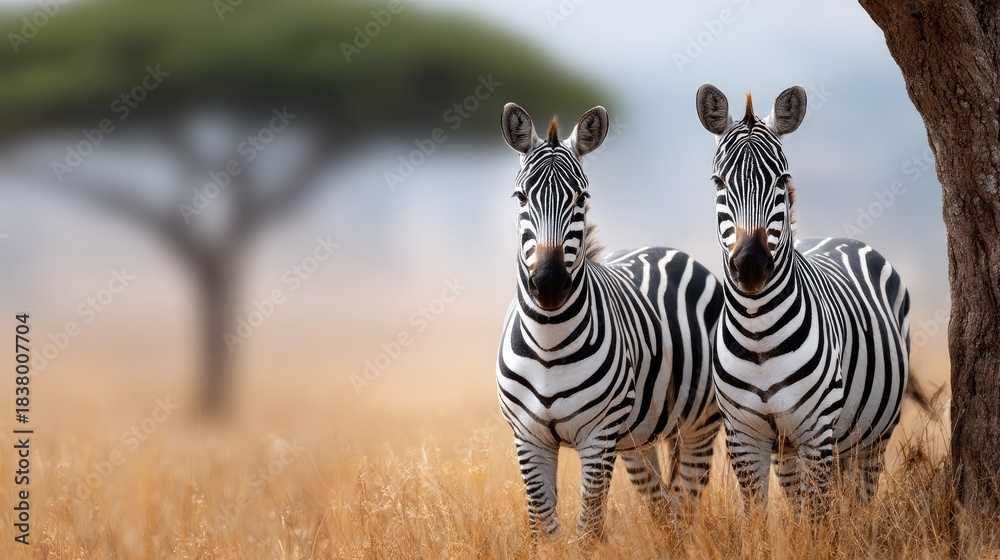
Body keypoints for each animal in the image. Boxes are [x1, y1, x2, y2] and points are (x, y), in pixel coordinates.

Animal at [496, 102, 724, 539]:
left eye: (581, 198)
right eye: (520, 196)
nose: (549, 284)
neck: (549, 342)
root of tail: (664, 250)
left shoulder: (598, 437)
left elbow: (588, 531)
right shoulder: (528, 438)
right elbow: (543, 529)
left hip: (699, 425)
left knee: (684, 505)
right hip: (637, 438)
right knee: (662, 505)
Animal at [694, 84, 912, 514]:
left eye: (782, 179)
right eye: (717, 182)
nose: (751, 266)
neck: (757, 333)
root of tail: (841, 238)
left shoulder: (816, 432)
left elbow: (817, 516)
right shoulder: (743, 438)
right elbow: (760, 517)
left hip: (872, 437)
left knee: (859, 497)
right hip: (790, 448)